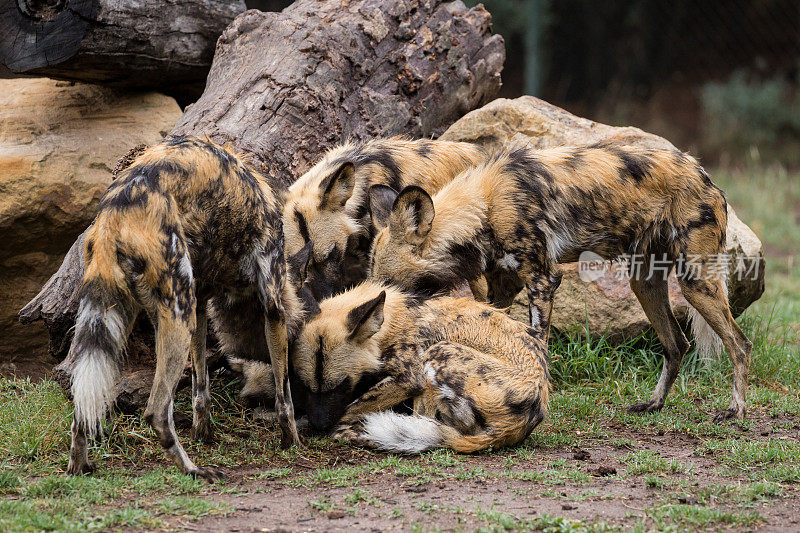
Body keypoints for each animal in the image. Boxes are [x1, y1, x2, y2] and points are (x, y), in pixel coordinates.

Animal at [65, 136, 304, 478]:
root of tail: (118, 208)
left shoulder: (201, 306)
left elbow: (200, 389)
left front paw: (204, 434)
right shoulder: (272, 304)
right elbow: (285, 398)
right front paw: (291, 441)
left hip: (128, 311)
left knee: (81, 409)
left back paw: (79, 465)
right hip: (179, 314)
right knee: (156, 411)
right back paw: (193, 469)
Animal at [290, 278, 552, 454]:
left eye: (343, 385)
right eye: (304, 385)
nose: (319, 425)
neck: (391, 323)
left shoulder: (408, 380)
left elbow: (350, 409)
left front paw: (337, 428)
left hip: (436, 354)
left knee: (423, 423)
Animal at [372, 141, 752, 420]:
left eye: (391, 285)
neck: (485, 205)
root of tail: (703, 174)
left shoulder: (542, 280)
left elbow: (538, 342)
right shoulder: (503, 288)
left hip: (695, 282)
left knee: (740, 344)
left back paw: (735, 411)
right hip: (644, 283)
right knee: (677, 344)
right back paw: (654, 404)